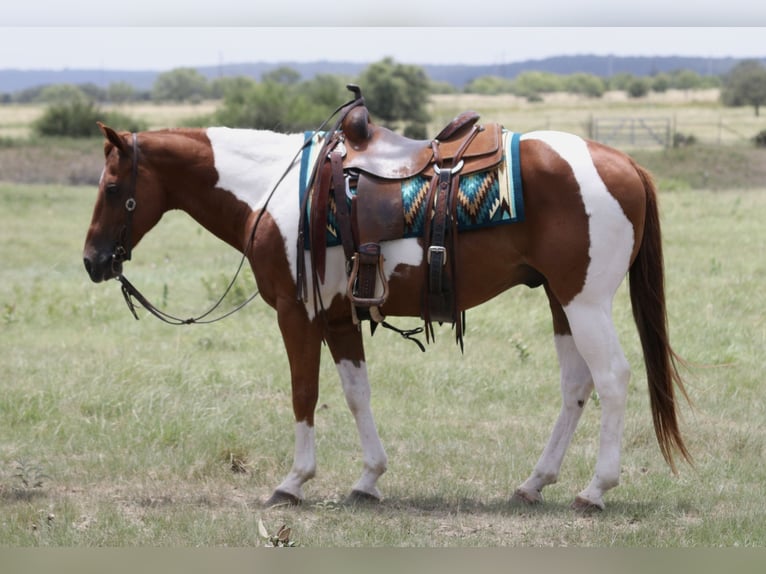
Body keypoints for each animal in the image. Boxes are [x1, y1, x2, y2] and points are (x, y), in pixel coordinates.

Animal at [82, 112, 691, 512]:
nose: (92, 260)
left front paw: (294, 481)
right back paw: (534, 482)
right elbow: (356, 393)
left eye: (112, 187)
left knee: (612, 379)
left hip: (585, 301)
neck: (273, 194)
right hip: (562, 301)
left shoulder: (297, 314)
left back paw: (595, 490)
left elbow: (304, 393)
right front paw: (368, 479)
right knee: (576, 386)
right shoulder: (338, 316)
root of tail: (624, 162)